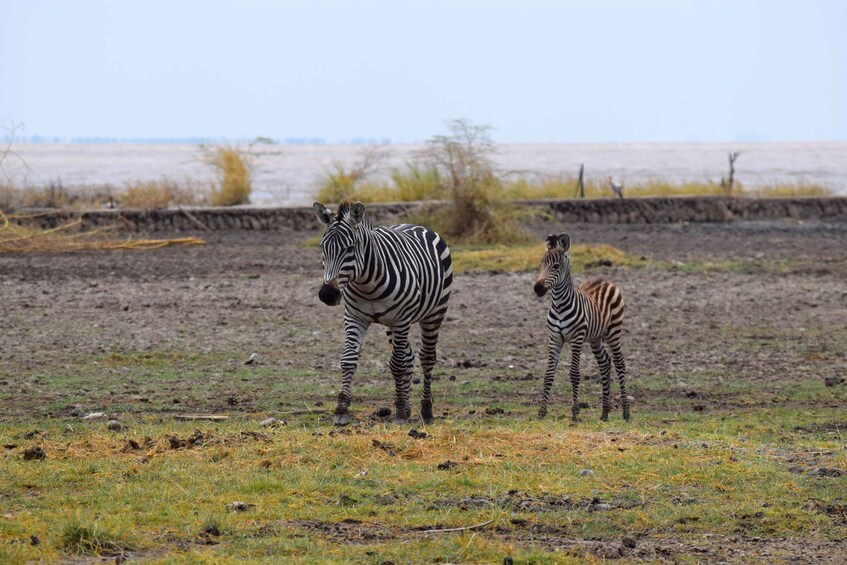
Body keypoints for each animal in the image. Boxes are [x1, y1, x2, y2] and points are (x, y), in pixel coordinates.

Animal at [313, 200, 453, 426]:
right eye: (322, 247)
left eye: (350, 248)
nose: (327, 294)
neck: (366, 284)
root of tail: (416, 225)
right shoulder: (354, 317)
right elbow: (348, 360)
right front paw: (341, 409)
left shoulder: (401, 319)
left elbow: (397, 364)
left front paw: (400, 413)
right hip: (391, 325)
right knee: (408, 356)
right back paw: (408, 406)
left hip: (434, 313)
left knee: (426, 358)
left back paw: (426, 411)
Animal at [533, 232, 630, 421]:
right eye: (541, 265)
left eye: (556, 266)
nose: (538, 288)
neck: (559, 305)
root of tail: (604, 280)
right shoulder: (554, 338)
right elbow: (548, 374)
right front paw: (541, 412)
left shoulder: (576, 339)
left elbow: (574, 374)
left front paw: (575, 413)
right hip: (595, 338)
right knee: (605, 363)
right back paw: (604, 412)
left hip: (613, 332)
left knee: (620, 363)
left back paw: (625, 412)